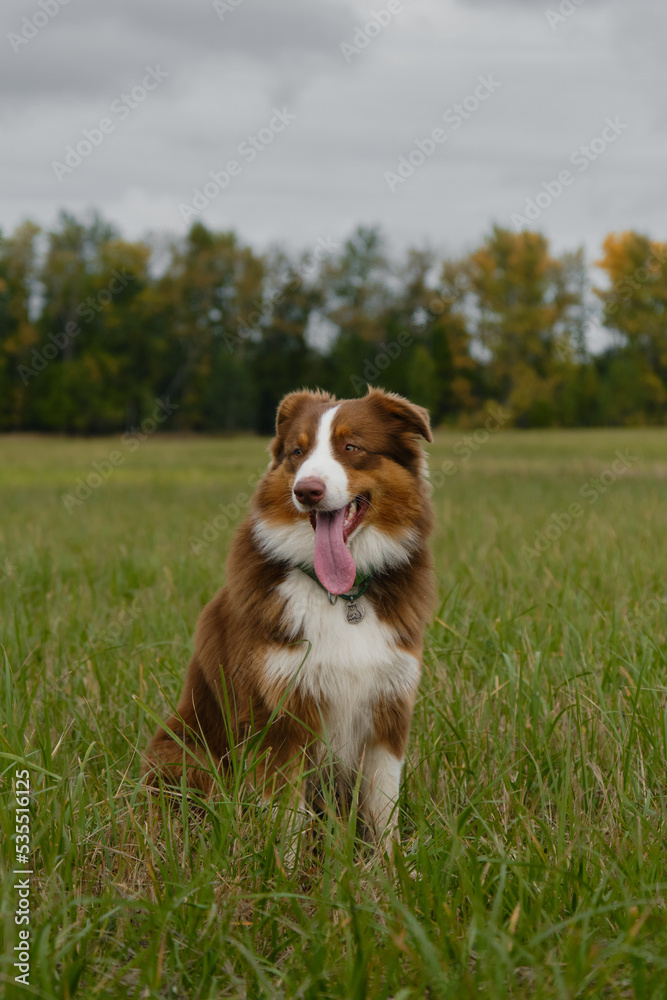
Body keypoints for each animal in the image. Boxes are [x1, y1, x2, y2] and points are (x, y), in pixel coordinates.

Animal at [143, 386, 436, 840]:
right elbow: (287, 823)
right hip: (181, 753)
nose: (306, 490)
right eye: (298, 452)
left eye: (351, 447)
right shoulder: (278, 719)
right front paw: (283, 860)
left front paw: (392, 860)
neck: (340, 596)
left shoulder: (389, 710)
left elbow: (383, 817)